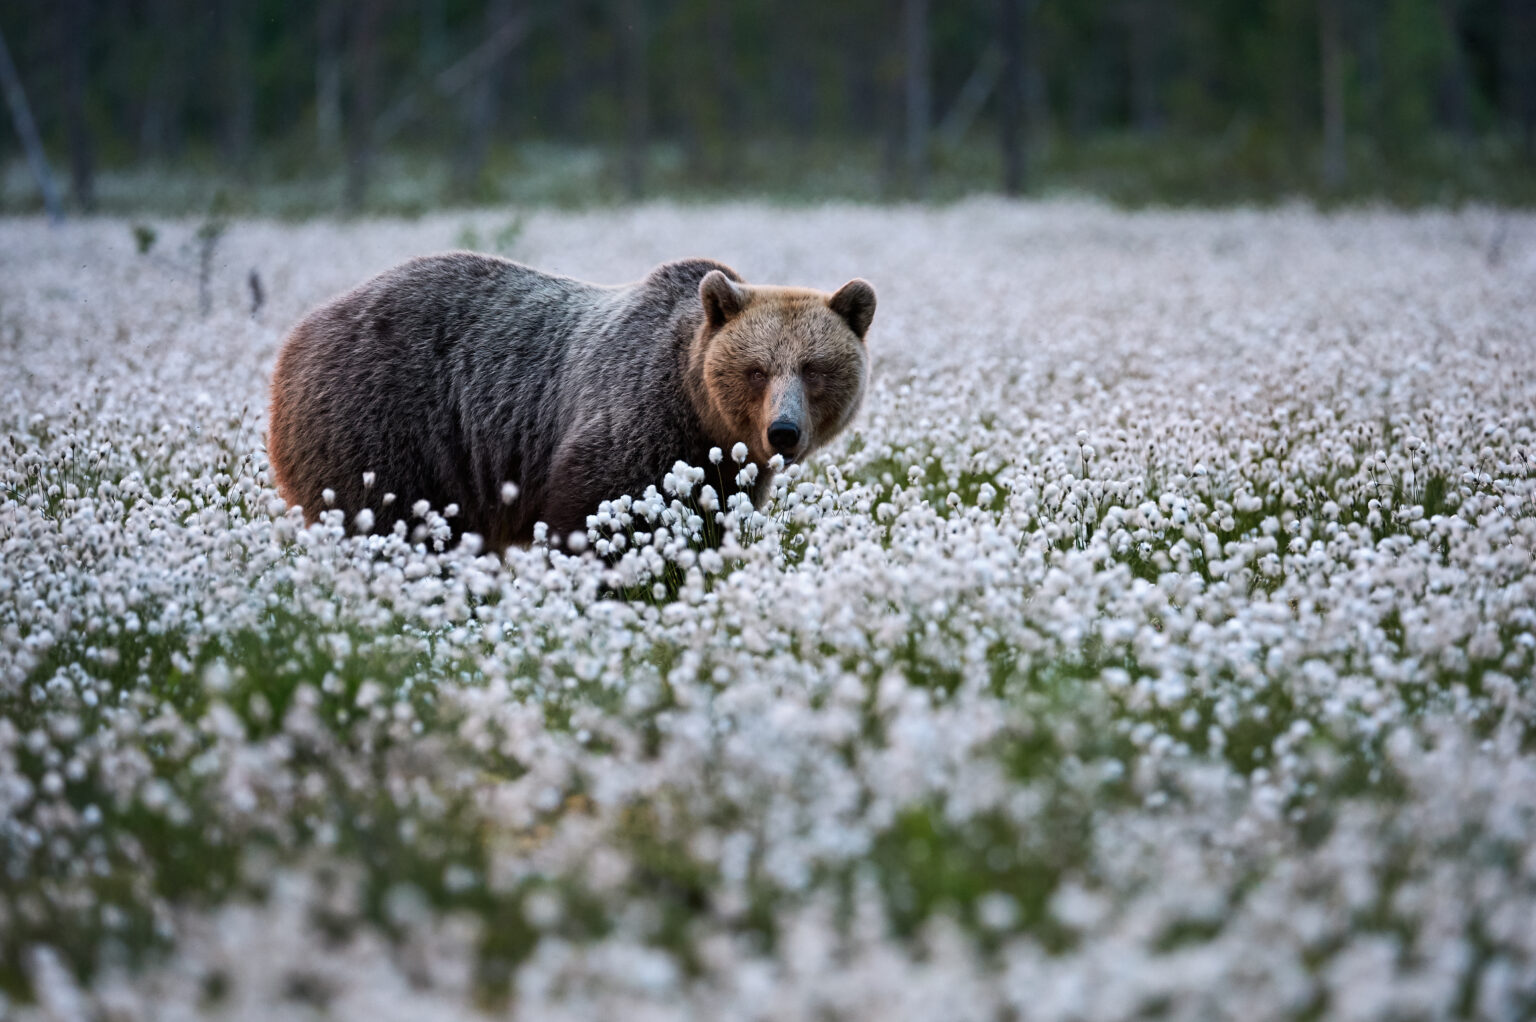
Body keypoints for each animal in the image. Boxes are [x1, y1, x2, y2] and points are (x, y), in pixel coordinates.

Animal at [267, 255, 878, 550]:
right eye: (757, 370)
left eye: (813, 368)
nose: (783, 432)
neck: (701, 415)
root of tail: (299, 335)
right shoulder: (638, 420)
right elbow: (601, 513)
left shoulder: (720, 468)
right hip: (383, 422)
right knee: (385, 519)